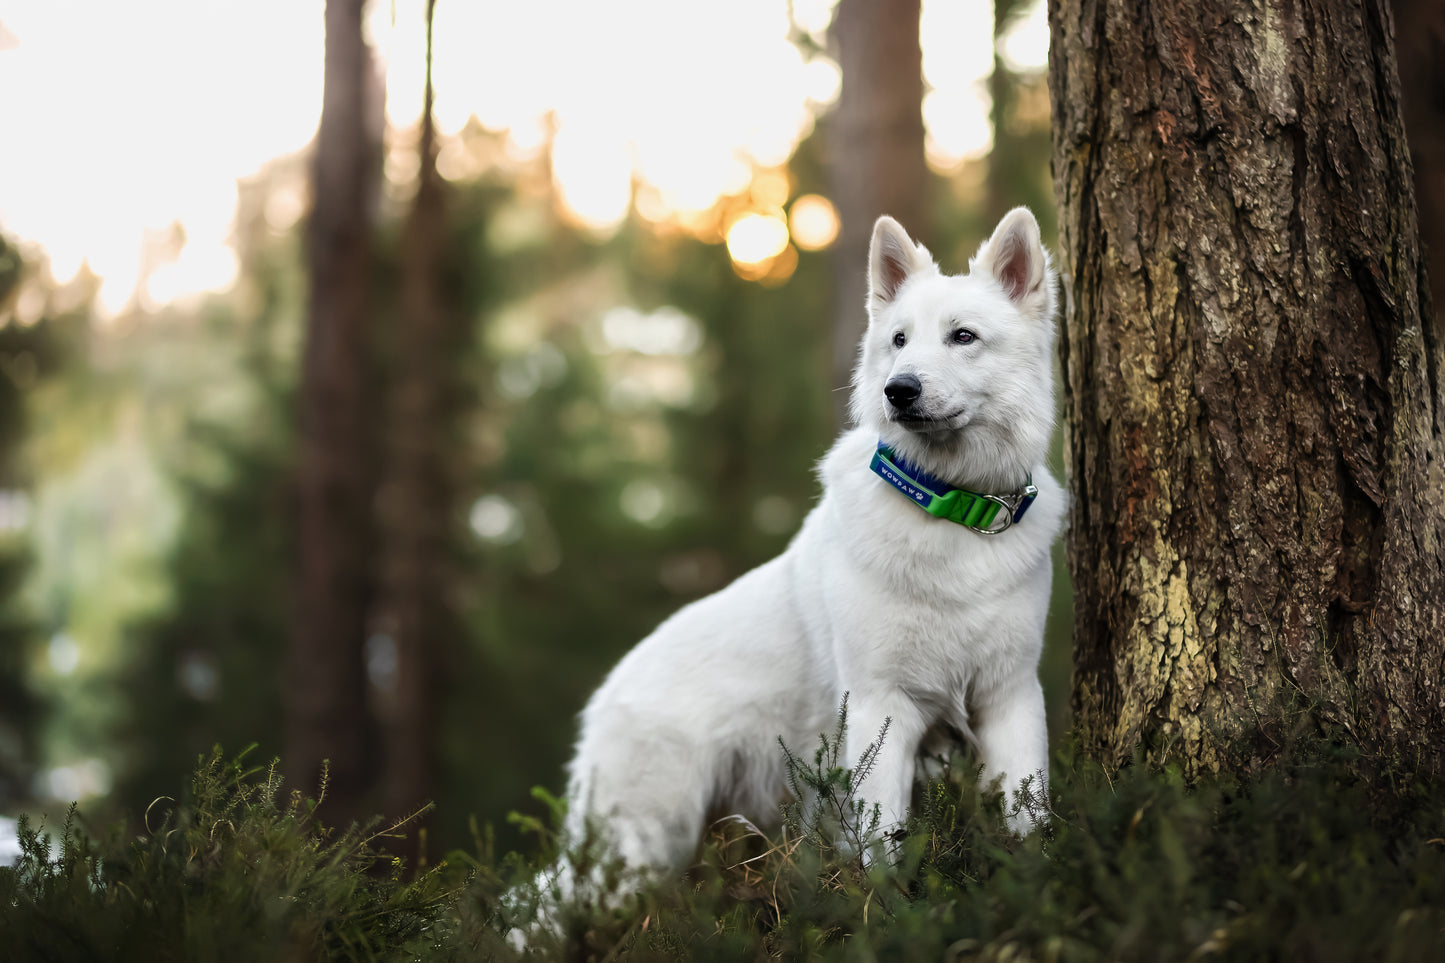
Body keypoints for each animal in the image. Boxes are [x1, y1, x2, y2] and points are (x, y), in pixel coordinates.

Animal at [563, 206, 1063, 873]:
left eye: (963, 336)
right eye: (899, 340)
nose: (898, 390)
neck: (950, 505)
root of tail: (600, 703)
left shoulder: (1010, 699)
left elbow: (1029, 820)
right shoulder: (881, 709)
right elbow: (882, 846)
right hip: (642, 845)